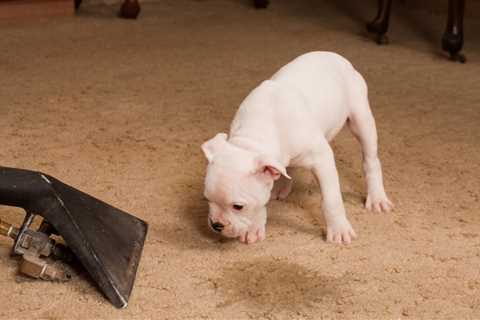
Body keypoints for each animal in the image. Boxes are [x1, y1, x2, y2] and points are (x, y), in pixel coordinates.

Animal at [201, 51, 392, 244]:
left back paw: (377, 197)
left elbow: (331, 200)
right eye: (207, 199)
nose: (216, 225)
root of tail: (335, 55)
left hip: (361, 119)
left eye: (238, 206)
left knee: (371, 160)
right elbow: (262, 200)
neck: (255, 135)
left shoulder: (322, 160)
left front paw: (339, 228)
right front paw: (255, 226)